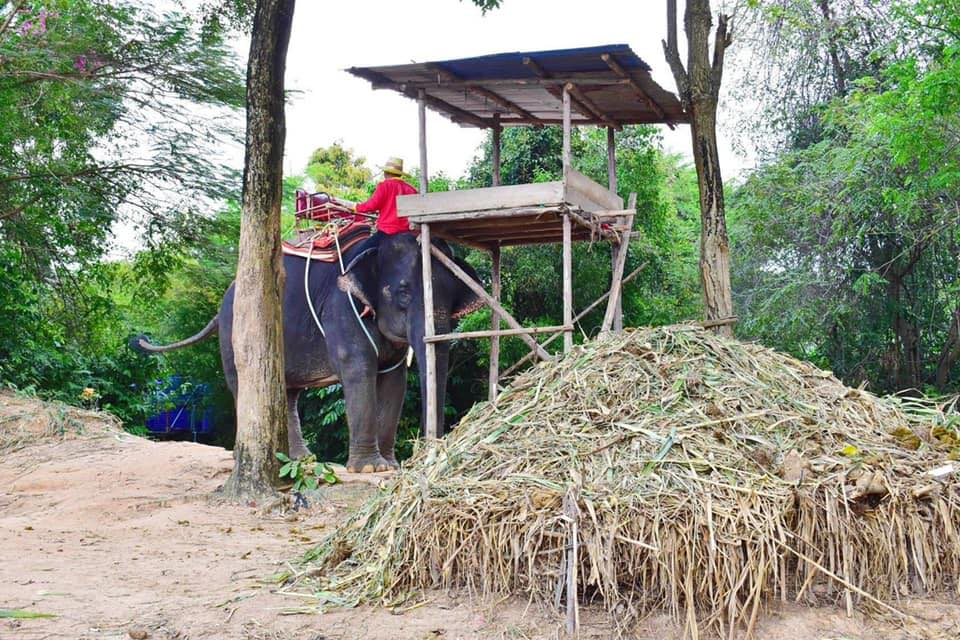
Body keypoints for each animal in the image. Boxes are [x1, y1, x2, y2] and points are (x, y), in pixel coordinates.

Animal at [131, 232, 484, 472]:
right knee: (244, 384)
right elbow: (358, 370)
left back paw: (300, 459)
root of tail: (220, 308)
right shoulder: (342, 306)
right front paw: (371, 468)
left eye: (454, 295)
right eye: (403, 292)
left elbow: (394, 382)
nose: (425, 457)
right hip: (234, 335)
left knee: (287, 392)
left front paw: (389, 466)